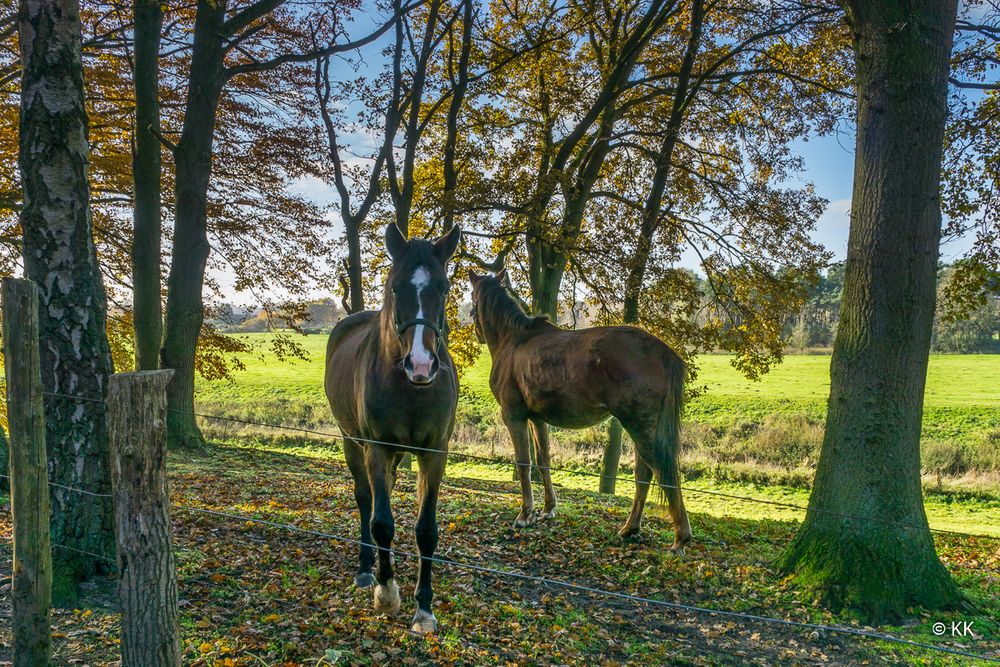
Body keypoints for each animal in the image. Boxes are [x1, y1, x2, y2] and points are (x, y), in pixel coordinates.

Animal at [330, 223, 462, 632]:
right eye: (395, 287)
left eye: (444, 287)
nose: (421, 365)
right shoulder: (377, 448)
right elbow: (382, 523)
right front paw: (387, 593)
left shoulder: (434, 454)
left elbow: (426, 530)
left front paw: (424, 608)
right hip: (352, 442)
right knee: (366, 500)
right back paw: (366, 570)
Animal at [470, 270, 692, 552]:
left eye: (472, 298)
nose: (477, 332)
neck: (515, 341)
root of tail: (664, 353)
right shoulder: (537, 419)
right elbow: (543, 459)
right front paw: (548, 509)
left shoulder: (514, 415)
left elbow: (523, 462)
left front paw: (525, 514)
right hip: (642, 427)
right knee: (644, 473)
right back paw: (630, 528)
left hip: (639, 425)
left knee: (662, 471)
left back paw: (680, 537)